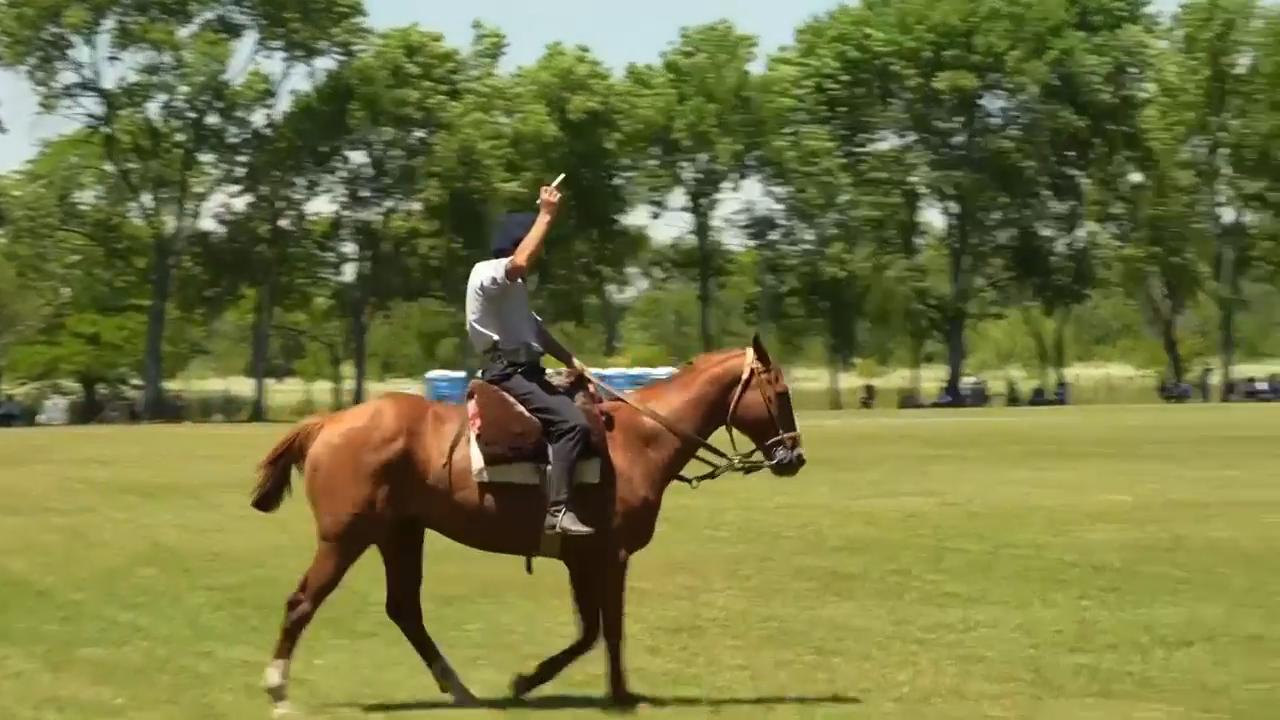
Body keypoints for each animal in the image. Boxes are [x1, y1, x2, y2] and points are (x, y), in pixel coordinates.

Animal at [249, 333, 806, 714]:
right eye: (779, 392)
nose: (794, 458)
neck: (639, 440)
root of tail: (328, 423)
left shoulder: (584, 558)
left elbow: (590, 631)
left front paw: (531, 682)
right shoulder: (610, 556)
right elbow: (608, 630)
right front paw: (614, 692)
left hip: (400, 533)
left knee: (404, 610)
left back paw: (461, 691)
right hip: (346, 537)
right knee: (303, 602)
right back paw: (278, 691)